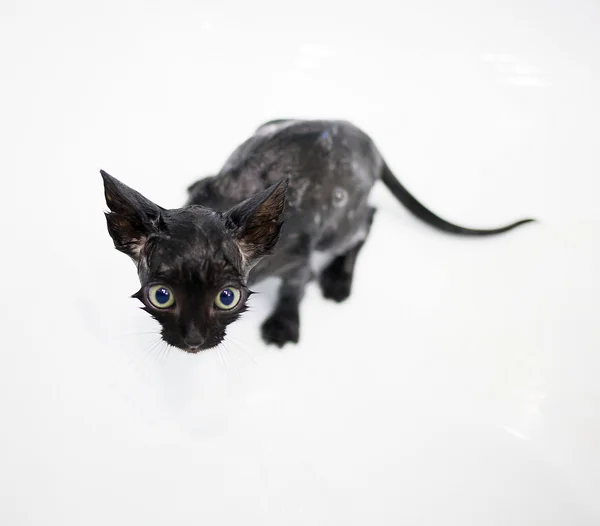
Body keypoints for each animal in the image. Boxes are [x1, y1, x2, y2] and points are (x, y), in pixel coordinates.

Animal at [99, 119, 536, 354]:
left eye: (227, 297)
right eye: (161, 296)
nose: (192, 340)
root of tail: (368, 141)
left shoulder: (298, 260)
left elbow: (295, 289)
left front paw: (284, 325)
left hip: (339, 229)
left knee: (368, 220)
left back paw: (339, 279)